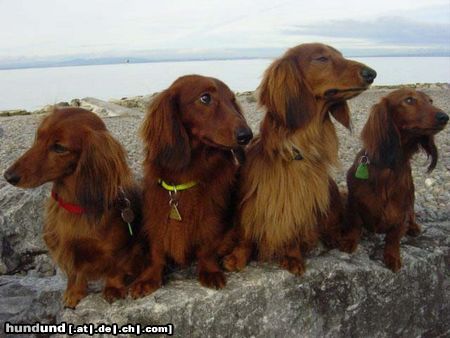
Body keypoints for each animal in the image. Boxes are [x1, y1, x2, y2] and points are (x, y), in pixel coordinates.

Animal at [3, 107, 144, 306]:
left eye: (60, 148)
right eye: (38, 136)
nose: (8, 176)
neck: (73, 206)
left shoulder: (120, 250)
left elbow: (115, 269)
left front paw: (113, 289)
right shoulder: (66, 249)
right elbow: (75, 273)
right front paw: (73, 293)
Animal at [224, 43, 376, 274]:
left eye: (340, 55)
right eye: (322, 58)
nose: (371, 73)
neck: (297, 148)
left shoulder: (301, 201)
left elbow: (293, 229)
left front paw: (292, 256)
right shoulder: (251, 200)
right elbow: (245, 233)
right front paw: (237, 256)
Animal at [342, 88, 448, 270]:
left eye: (431, 101)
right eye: (409, 100)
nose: (445, 117)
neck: (389, 168)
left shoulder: (401, 212)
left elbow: (394, 235)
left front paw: (392, 256)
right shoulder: (355, 203)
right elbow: (355, 224)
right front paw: (349, 241)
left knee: (412, 216)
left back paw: (414, 227)